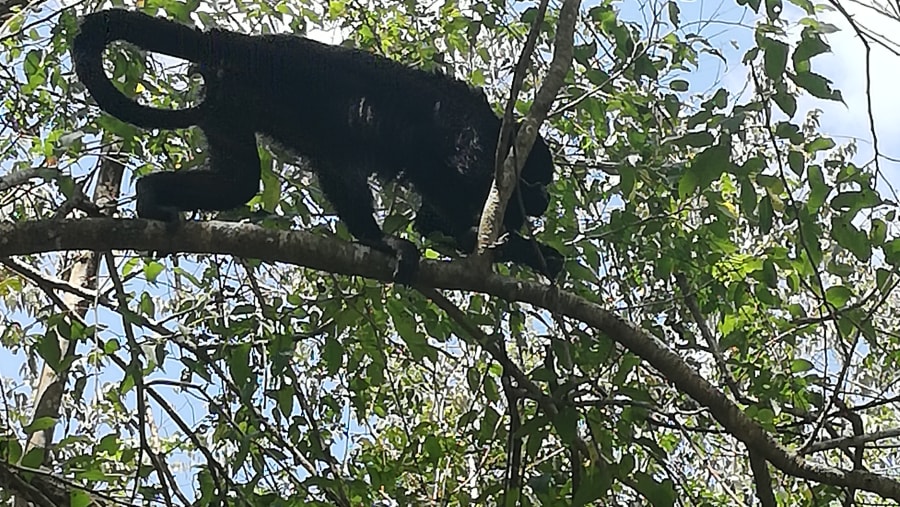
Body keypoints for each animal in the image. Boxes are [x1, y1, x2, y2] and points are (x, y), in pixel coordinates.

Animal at [71, 9, 563, 282]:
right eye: (537, 182)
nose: (542, 201)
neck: (498, 133)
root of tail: (241, 44)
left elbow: (435, 222)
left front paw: (534, 254)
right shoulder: (473, 147)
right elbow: (445, 205)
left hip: (229, 97)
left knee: (238, 180)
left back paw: (151, 194)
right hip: (294, 90)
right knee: (339, 161)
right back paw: (378, 242)